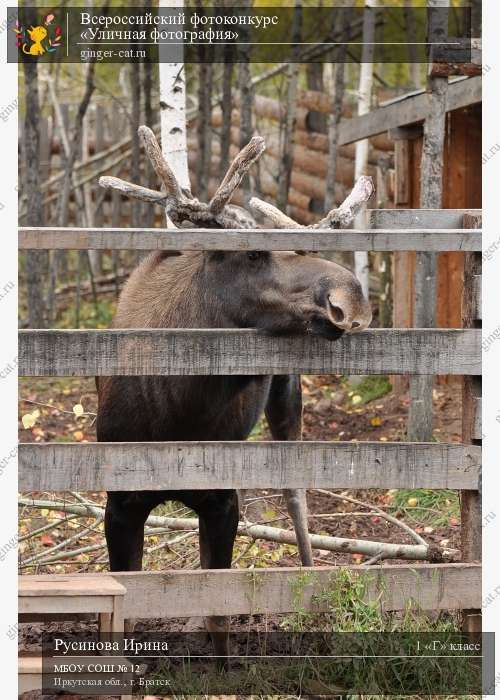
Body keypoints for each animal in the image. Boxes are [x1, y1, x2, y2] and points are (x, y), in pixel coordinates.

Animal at [97, 127, 372, 656]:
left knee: (296, 497)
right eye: (252, 252)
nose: (349, 298)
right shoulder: (120, 505)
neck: (179, 414)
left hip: (287, 401)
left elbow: (219, 610)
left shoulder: (223, 501)